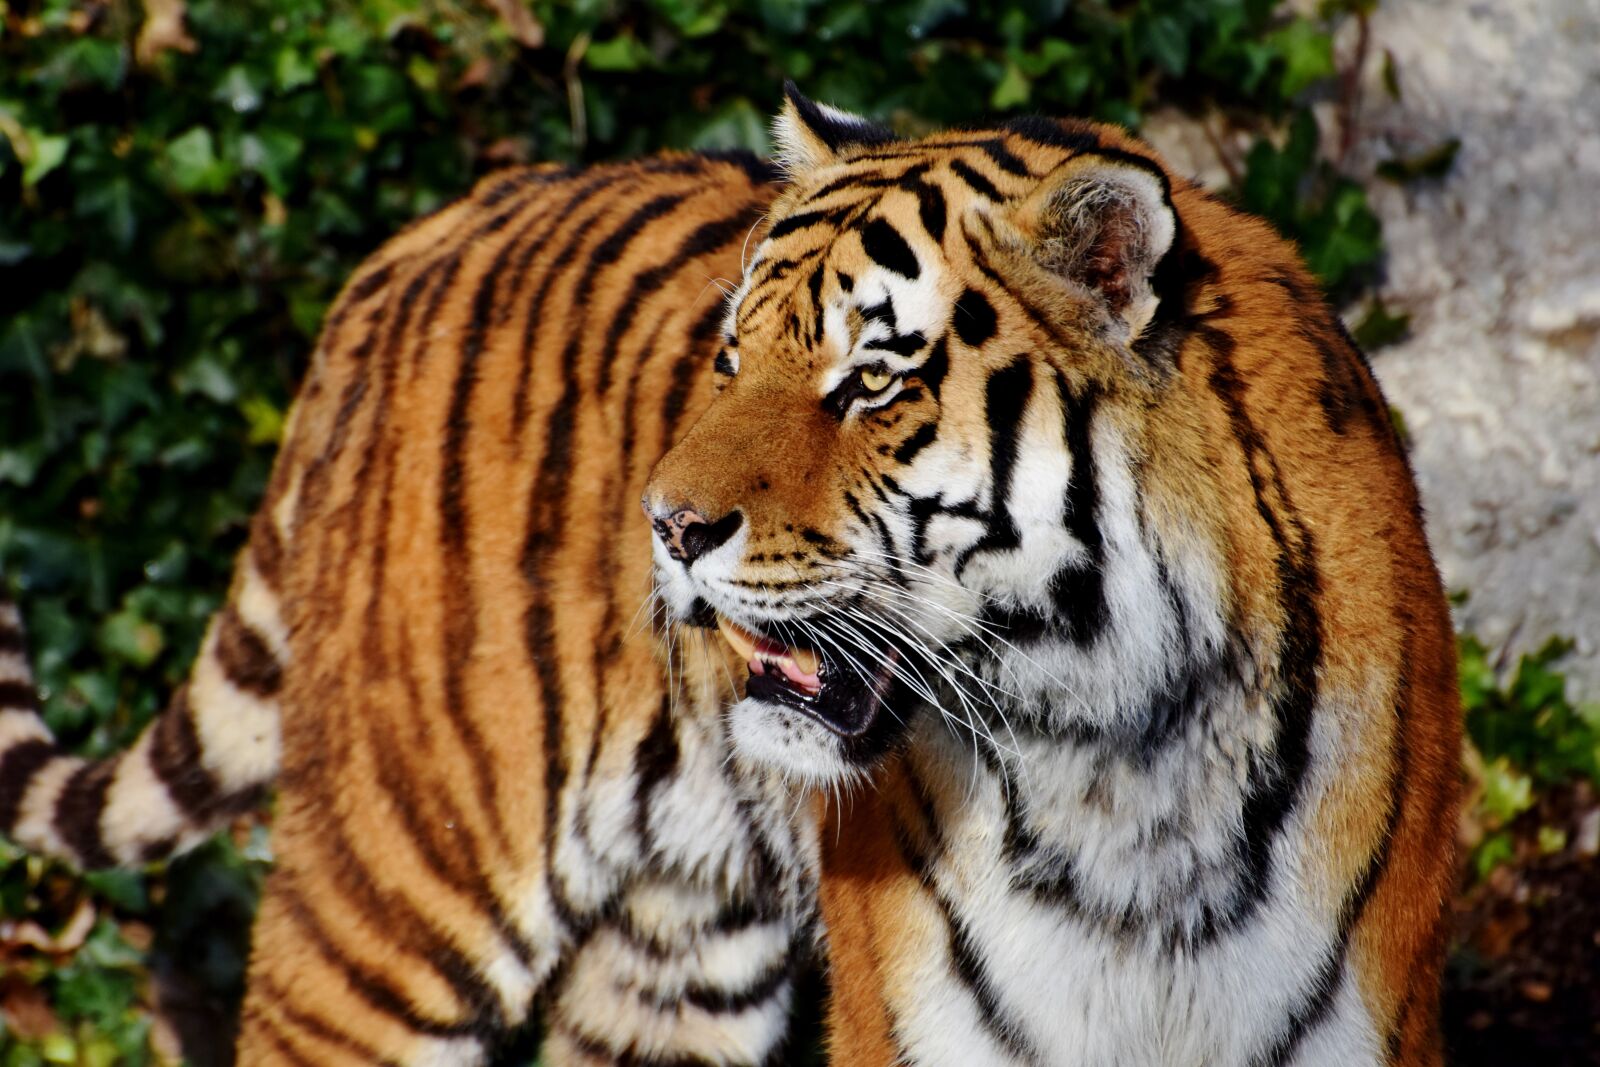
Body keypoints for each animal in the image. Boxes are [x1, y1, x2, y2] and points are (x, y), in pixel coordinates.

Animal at [0, 84, 1460, 1067]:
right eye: (732, 357)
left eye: (869, 379)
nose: (666, 525)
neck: (1120, 767)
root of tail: (416, 237)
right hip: (393, 890)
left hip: (675, 956)